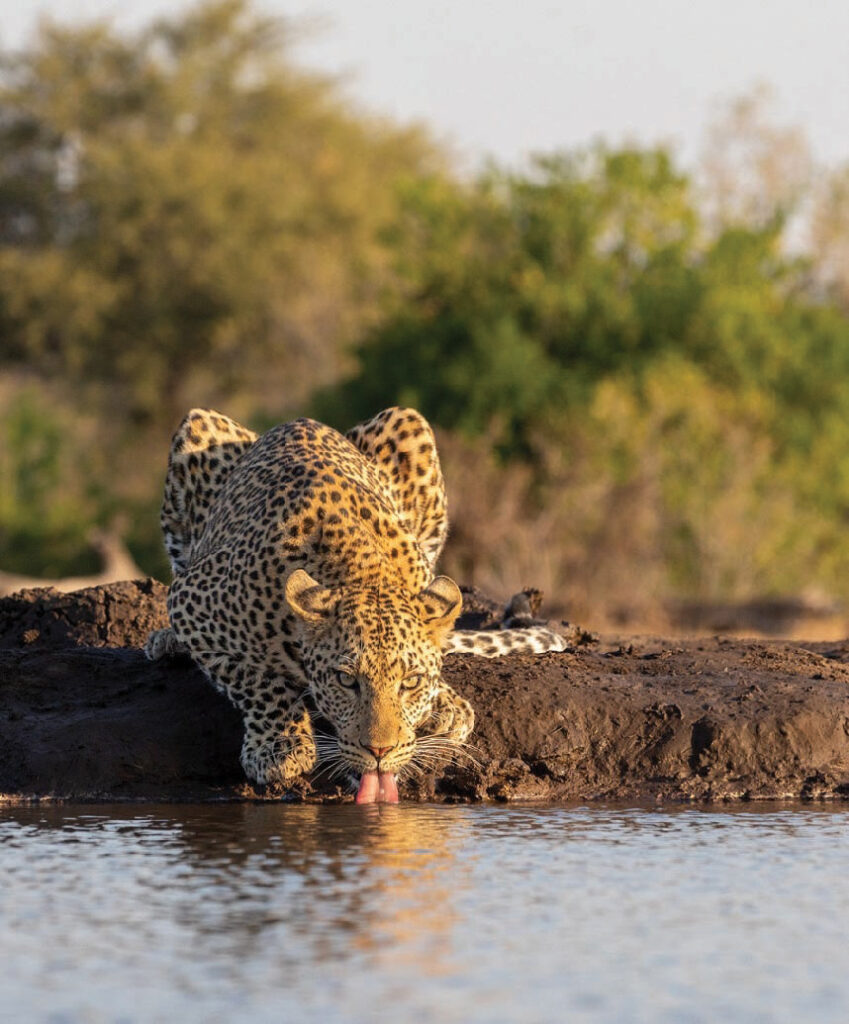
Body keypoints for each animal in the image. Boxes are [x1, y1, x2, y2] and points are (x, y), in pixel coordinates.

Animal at [145, 406, 567, 802]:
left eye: (410, 682)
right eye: (346, 680)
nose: (380, 751)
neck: (365, 573)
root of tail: (300, 421)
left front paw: (445, 703)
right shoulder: (190, 599)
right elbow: (255, 680)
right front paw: (280, 747)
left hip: (407, 423)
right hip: (197, 432)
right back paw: (167, 641)